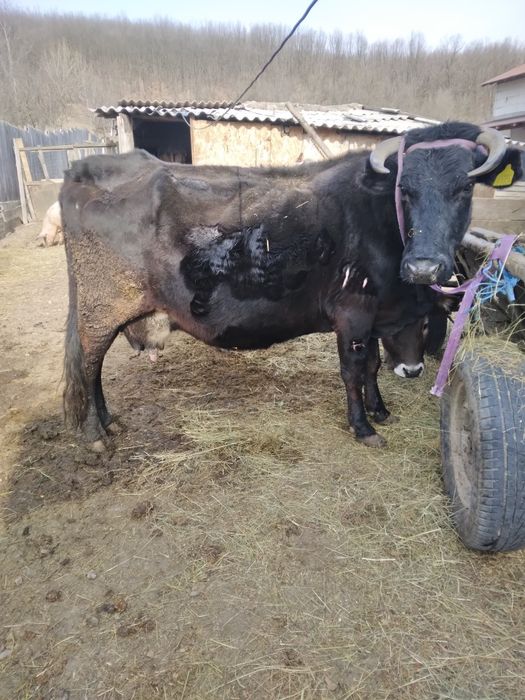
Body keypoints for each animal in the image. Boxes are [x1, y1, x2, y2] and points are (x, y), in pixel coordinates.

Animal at [60, 121, 522, 452]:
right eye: (404, 190)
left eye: (466, 187)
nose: (424, 266)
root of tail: (86, 169)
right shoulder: (351, 312)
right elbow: (353, 369)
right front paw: (363, 426)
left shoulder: (370, 315)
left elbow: (373, 364)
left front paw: (380, 409)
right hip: (102, 307)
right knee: (88, 365)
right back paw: (95, 435)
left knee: (93, 369)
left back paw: (108, 422)